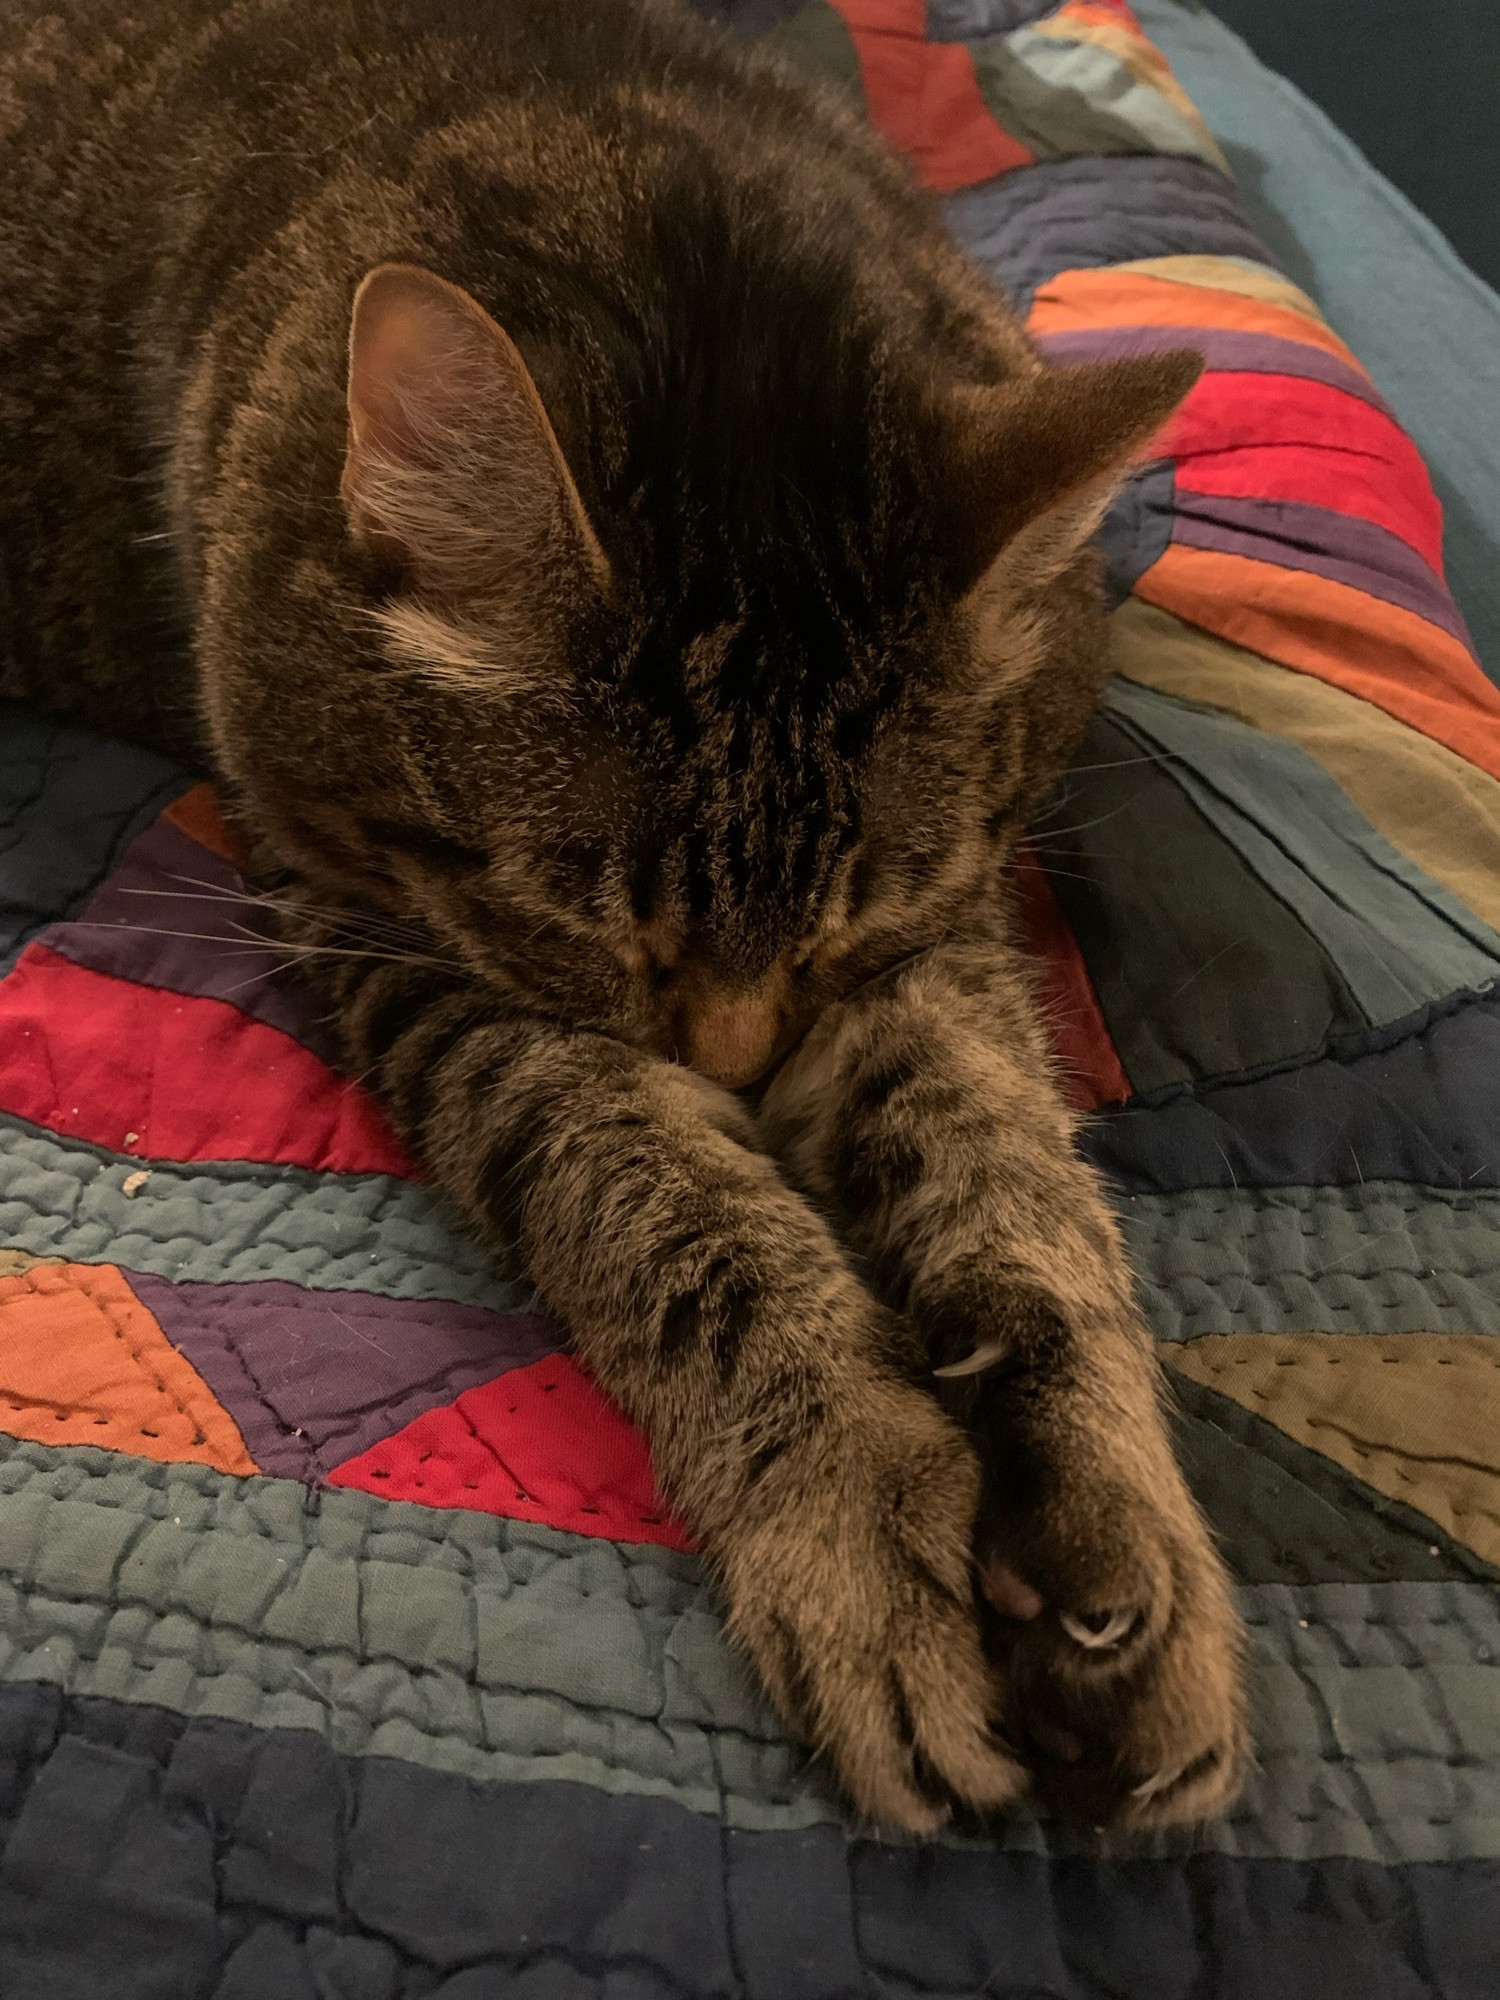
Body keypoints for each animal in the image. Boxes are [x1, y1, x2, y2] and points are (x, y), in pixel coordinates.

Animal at [0, 0, 1248, 1832]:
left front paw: (1097, 1501)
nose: (736, 1060)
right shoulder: (390, 917)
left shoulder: (931, 924)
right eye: (602, 935)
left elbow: (1005, 1167)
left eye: (827, 933)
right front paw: (856, 1510)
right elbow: (665, 1198)